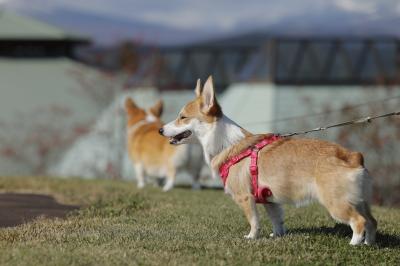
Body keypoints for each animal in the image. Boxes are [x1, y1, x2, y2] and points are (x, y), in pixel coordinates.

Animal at [158, 76, 376, 244]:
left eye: (182, 117)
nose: (160, 130)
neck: (226, 143)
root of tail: (353, 157)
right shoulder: (270, 200)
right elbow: (277, 220)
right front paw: (277, 236)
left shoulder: (245, 198)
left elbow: (254, 221)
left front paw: (251, 238)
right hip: (360, 201)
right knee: (372, 222)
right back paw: (369, 244)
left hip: (336, 204)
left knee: (359, 222)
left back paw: (354, 244)